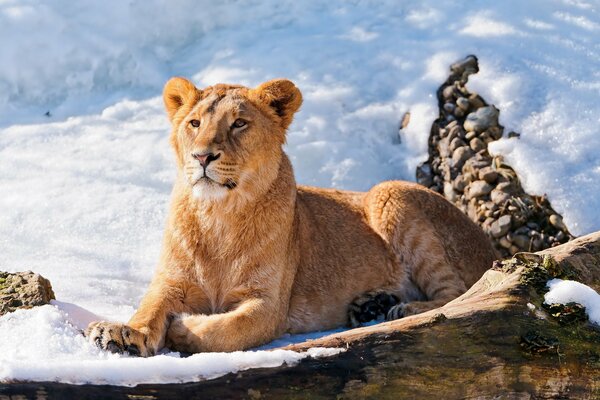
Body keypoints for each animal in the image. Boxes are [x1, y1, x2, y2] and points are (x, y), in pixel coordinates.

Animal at [84, 77, 496, 356]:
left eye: (239, 123)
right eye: (195, 123)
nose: (202, 156)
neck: (218, 214)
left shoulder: (269, 304)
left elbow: (228, 329)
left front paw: (184, 327)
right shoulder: (171, 282)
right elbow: (149, 308)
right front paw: (122, 334)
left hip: (389, 193)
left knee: (458, 293)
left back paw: (401, 308)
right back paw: (371, 306)